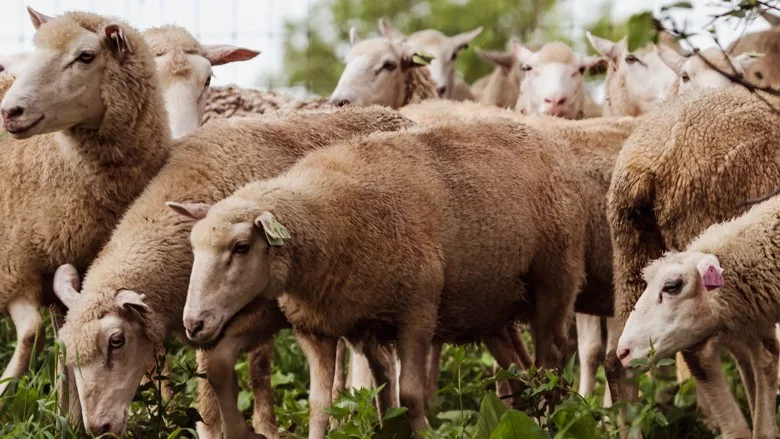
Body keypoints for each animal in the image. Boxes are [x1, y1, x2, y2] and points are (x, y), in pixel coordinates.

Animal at [52, 106, 414, 438]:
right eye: (67, 351)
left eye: (117, 340)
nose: (98, 427)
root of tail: (395, 114)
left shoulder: (265, 311)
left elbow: (220, 369)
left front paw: (237, 430)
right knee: (380, 362)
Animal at [178, 118, 589, 438]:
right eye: (194, 246)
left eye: (242, 246)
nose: (193, 324)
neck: (327, 221)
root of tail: (542, 137)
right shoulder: (316, 327)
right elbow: (319, 405)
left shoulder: (417, 312)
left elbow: (410, 396)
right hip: (489, 303)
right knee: (522, 370)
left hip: (555, 281)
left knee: (551, 363)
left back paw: (554, 421)